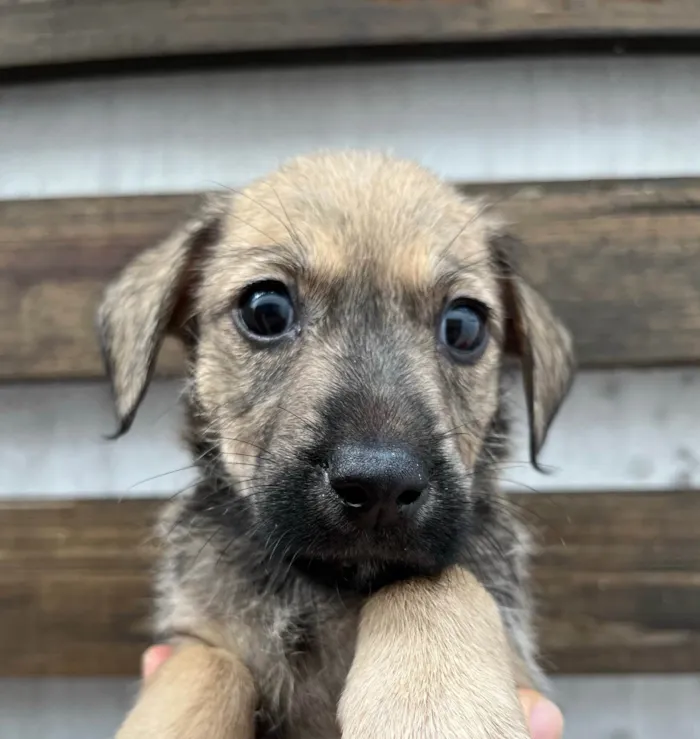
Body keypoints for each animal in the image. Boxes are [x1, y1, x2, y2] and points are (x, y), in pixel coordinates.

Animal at [100, 152, 576, 739]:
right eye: (266, 310)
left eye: (464, 325)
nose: (380, 486)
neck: (328, 587)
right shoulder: (198, 635)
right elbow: (203, 669)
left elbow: (433, 585)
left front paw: (436, 705)